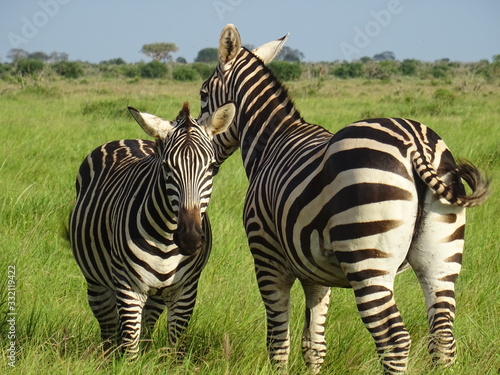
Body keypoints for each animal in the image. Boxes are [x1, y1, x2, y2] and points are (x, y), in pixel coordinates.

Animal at [68, 100, 236, 358]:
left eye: (211, 167)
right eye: (167, 167)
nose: (190, 238)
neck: (166, 239)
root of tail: (127, 139)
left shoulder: (185, 290)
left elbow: (175, 348)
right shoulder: (129, 287)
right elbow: (130, 348)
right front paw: (127, 362)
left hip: (156, 294)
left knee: (146, 327)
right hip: (97, 282)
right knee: (108, 329)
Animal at [198, 25, 488, 374]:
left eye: (202, 94)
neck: (271, 142)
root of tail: (414, 143)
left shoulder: (267, 257)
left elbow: (278, 342)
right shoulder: (315, 271)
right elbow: (313, 343)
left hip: (367, 258)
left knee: (394, 340)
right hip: (442, 256)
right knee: (443, 337)